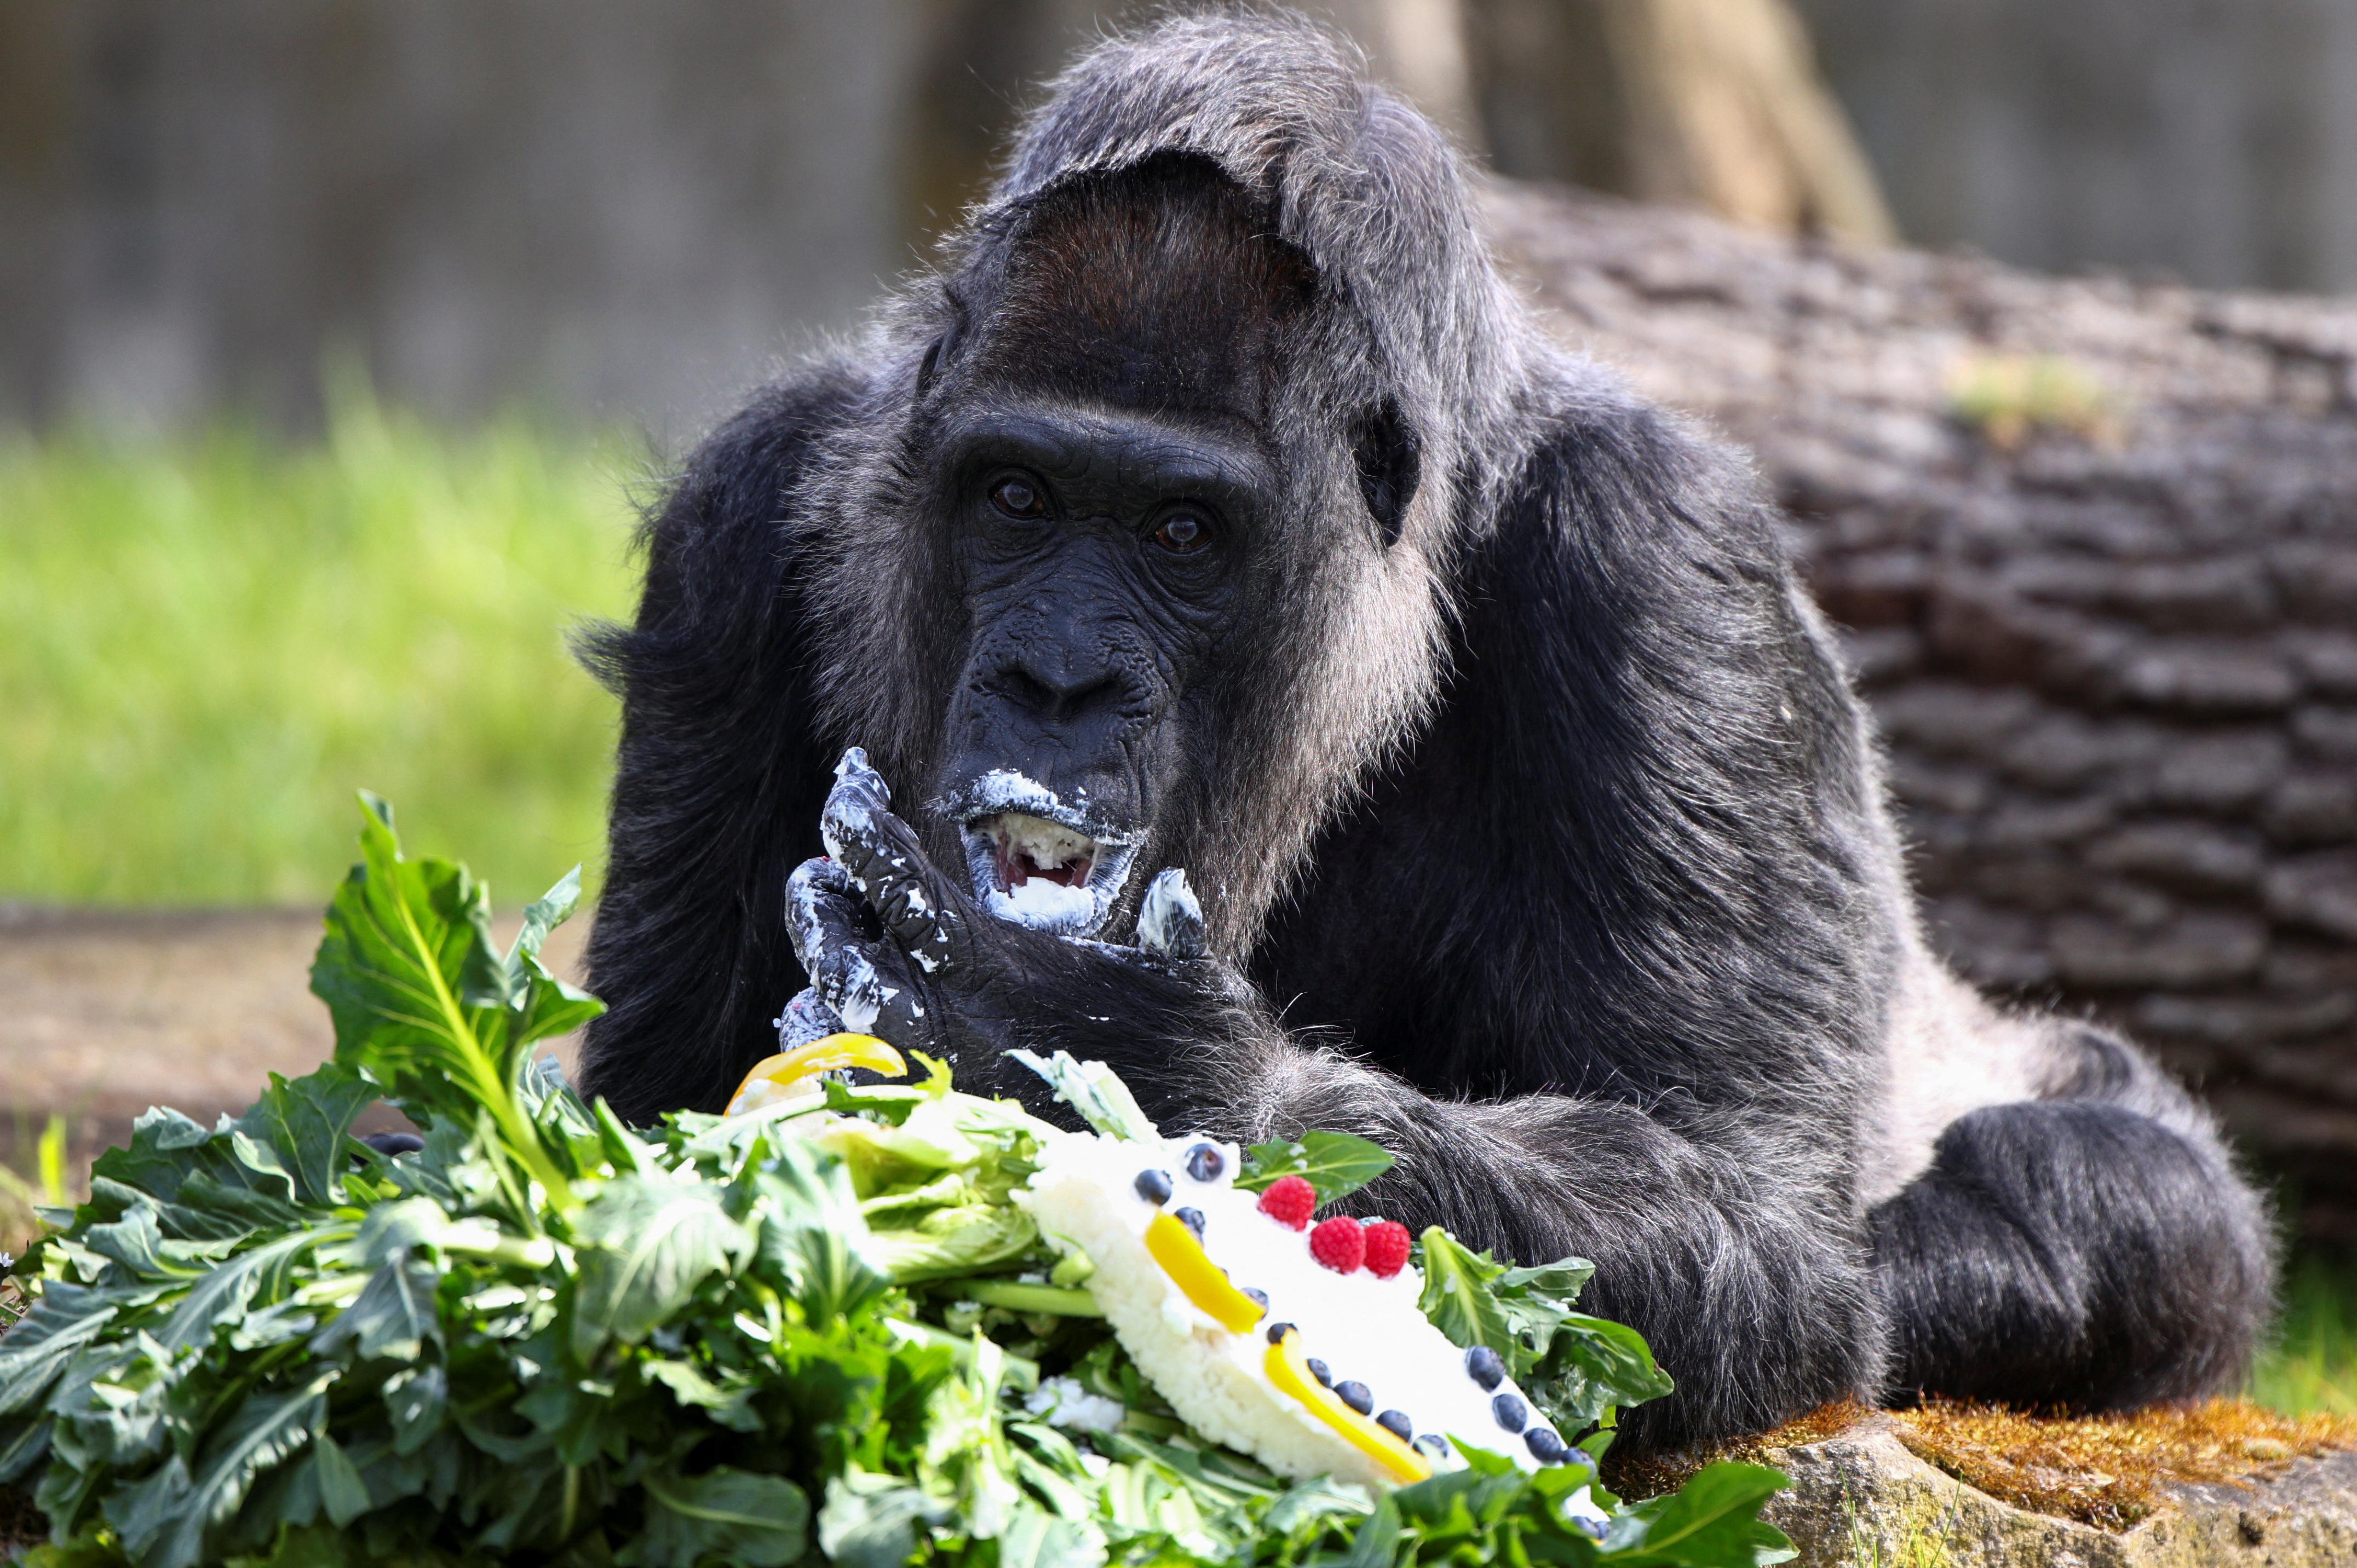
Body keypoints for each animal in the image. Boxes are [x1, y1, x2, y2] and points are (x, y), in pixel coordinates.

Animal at [577, 14, 2272, 1454]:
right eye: (1016, 498)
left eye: (1182, 532)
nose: (1054, 679)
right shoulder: (742, 510)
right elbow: (643, 1117)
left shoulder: (1661, 563)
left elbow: (1756, 1217)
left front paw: (1133, 1060)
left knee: (2104, 1188)